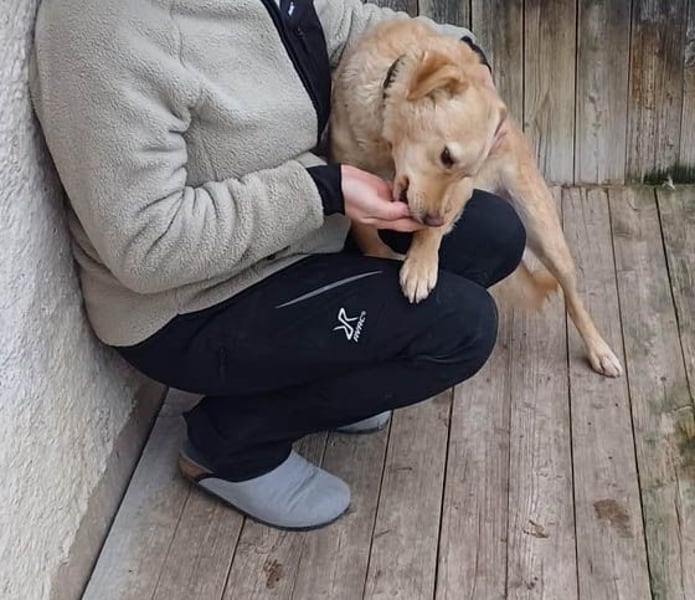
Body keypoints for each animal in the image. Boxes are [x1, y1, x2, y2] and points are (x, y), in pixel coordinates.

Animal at [329, 19, 622, 377]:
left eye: (465, 171)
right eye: (446, 156)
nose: (432, 217)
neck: (386, 147)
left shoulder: (458, 193)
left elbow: (432, 231)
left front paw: (420, 264)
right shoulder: (349, 179)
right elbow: (369, 236)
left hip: (547, 235)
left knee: (573, 296)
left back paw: (599, 350)